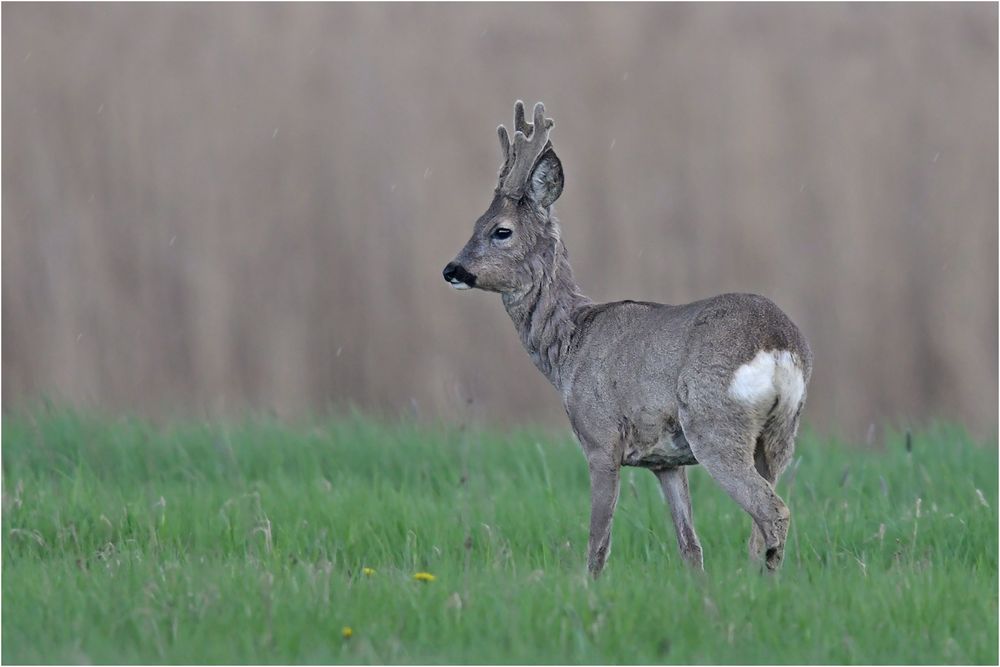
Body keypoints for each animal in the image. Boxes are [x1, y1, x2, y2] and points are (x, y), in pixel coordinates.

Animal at [444, 102, 812, 576]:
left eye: (500, 230)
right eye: (475, 223)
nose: (452, 269)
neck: (570, 345)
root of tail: (780, 345)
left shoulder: (600, 439)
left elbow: (598, 544)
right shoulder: (664, 462)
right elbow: (690, 546)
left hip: (716, 426)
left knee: (773, 511)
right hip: (781, 435)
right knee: (760, 522)